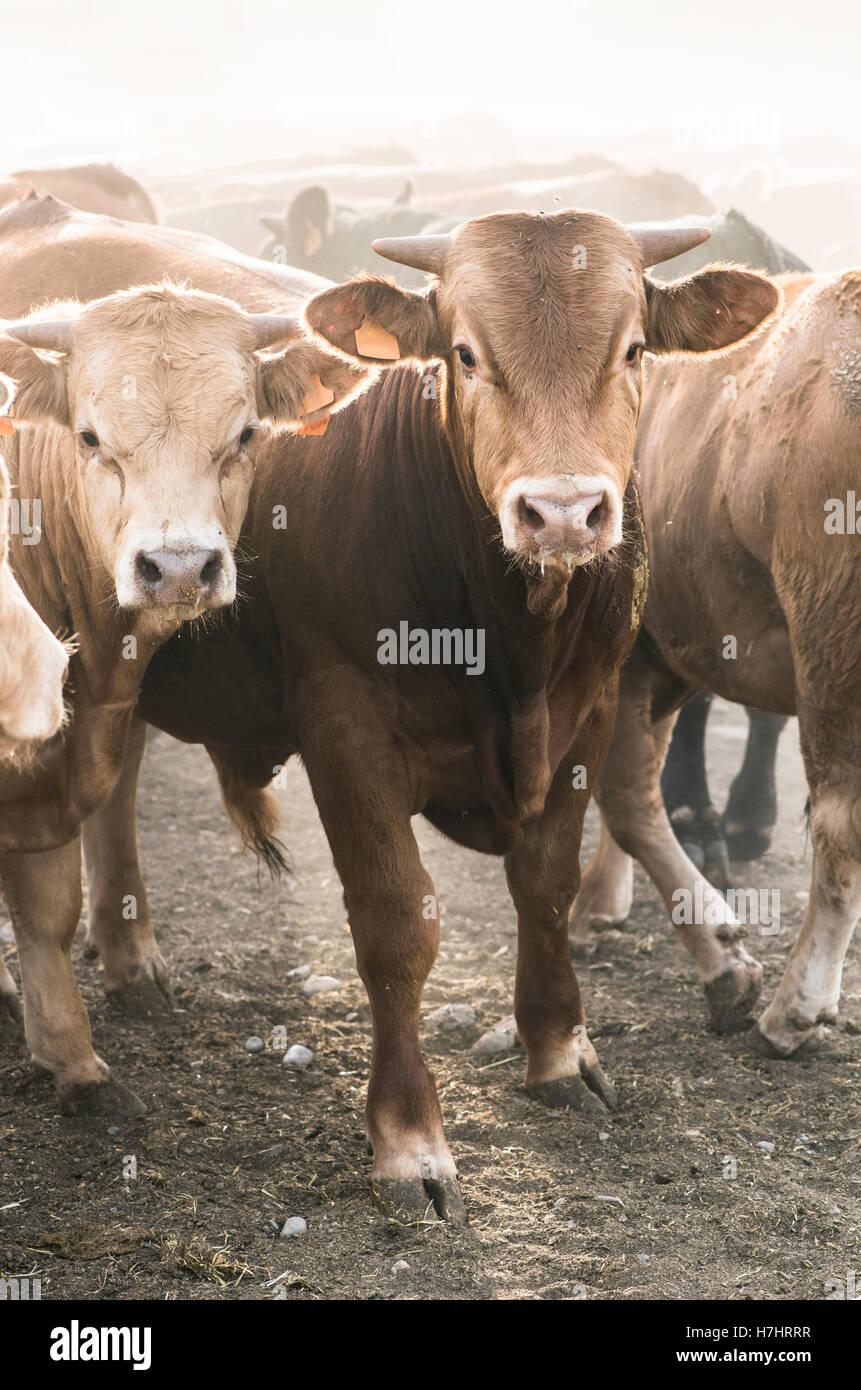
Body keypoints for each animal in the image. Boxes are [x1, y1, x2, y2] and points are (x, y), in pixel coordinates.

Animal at [78, 210, 777, 1219]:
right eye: (464, 354)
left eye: (634, 348)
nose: (561, 512)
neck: (512, 644)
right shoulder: (344, 729)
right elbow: (396, 924)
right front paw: (409, 1139)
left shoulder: (592, 708)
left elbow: (546, 883)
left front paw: (556, 1050)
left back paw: (131, 962)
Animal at [571, 268, 861, 1061]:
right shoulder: (661, 655)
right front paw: (598, 901)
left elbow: (627, 797)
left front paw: (723, 963)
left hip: (831, 648)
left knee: (839, 823)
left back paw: (796, 1006)